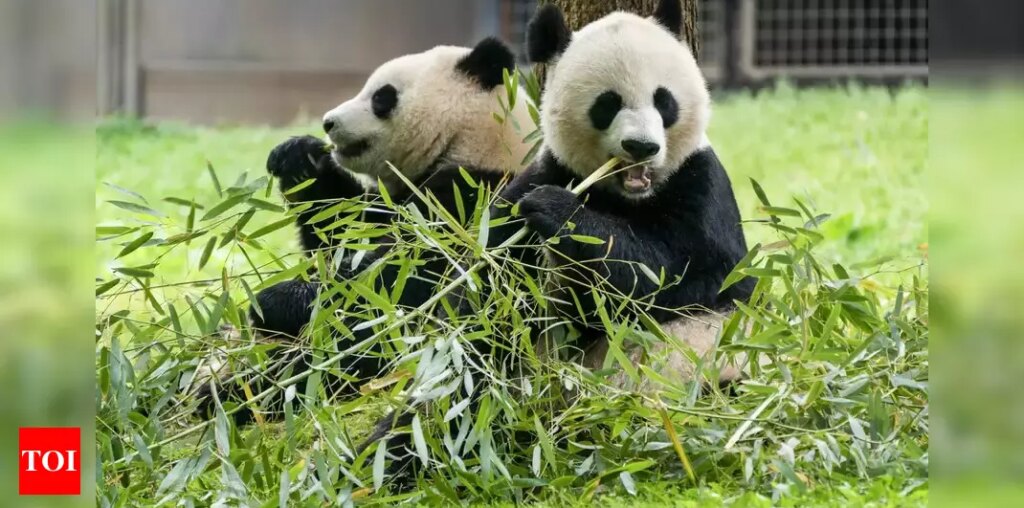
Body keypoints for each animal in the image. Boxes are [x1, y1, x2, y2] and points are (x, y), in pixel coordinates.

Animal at [195, 34, 540, 415]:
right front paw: (299, 156)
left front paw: (275, 300)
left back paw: (234, 396)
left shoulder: (472, 200)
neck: (473, 142)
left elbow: (394, 278)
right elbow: (340, 229)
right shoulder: (394, 198)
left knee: (346, 356)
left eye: (381, 97)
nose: (327, 123)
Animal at [491, 0, 757, 393]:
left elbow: (680, 275)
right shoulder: (551, 171)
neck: (628, 196)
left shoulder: (701, 185)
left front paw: (556, 209)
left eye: (664, 101)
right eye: (607, 104)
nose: (641, 147)